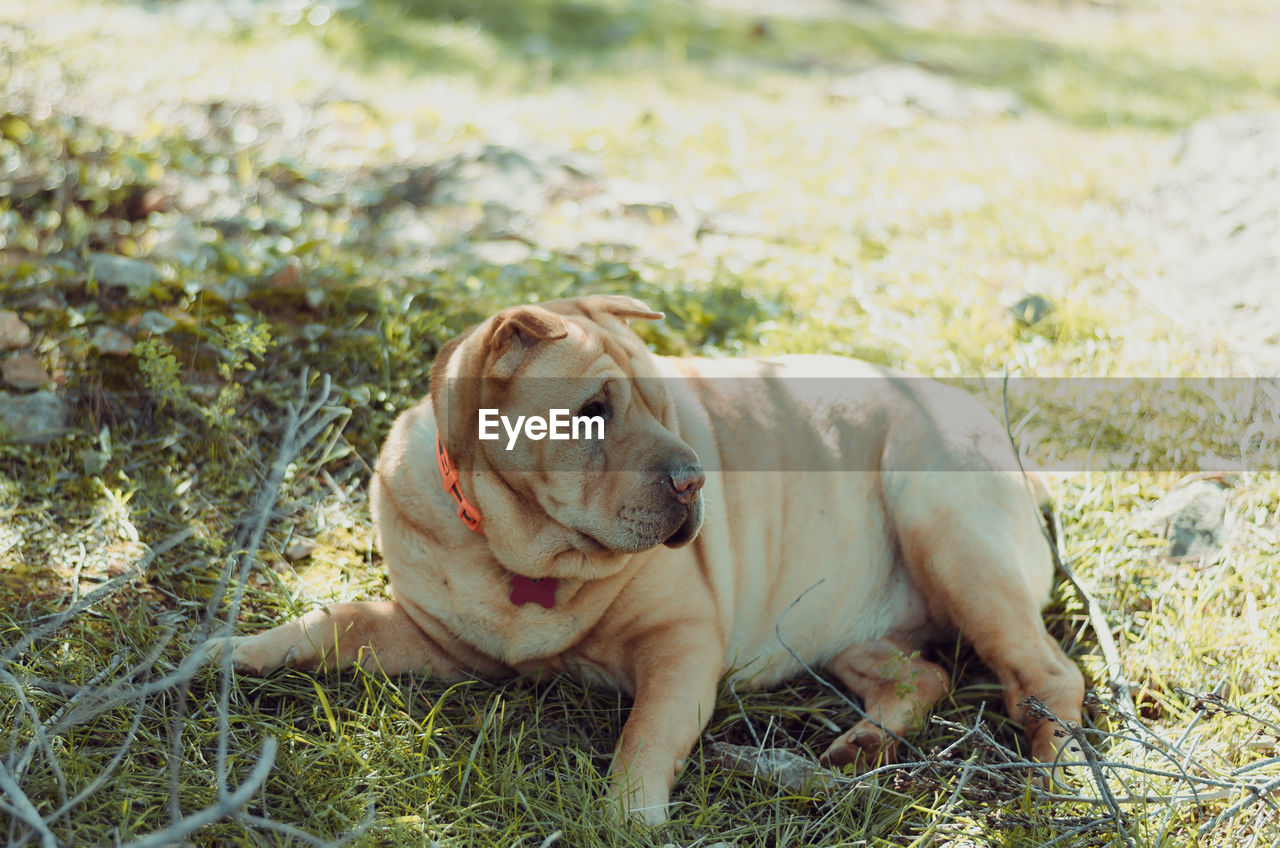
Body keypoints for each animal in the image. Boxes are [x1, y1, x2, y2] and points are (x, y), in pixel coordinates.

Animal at [217, 295, 1080, 824]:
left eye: (666, 406)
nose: (695, 477)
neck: (520, 555)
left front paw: (627, 815)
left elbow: (646, 735)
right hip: (847, 632)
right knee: (921, 676)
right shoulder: (437, 641)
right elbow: (335, 620)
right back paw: (863, 745)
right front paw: (238, 650)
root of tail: (1004, 440)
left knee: (1048, 675)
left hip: (947, 531)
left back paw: (1059, 779)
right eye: (591, 413)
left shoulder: (680, 645)